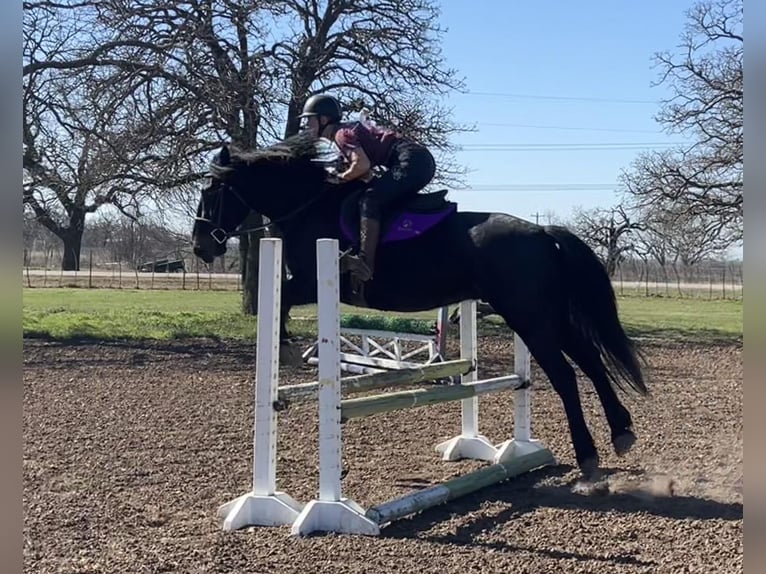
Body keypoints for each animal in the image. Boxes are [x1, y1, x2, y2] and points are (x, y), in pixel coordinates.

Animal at [192, 133, 648, 484]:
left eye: (211, 192)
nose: (201, 248)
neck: (308, 206)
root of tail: (542, 231)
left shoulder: (310, 281)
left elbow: (282, 299)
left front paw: (284, 344)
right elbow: (281, 302)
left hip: (530, 319)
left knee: (567, 375)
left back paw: (588, 456)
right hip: (547, 318)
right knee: (591, 362)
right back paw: (621, 433)